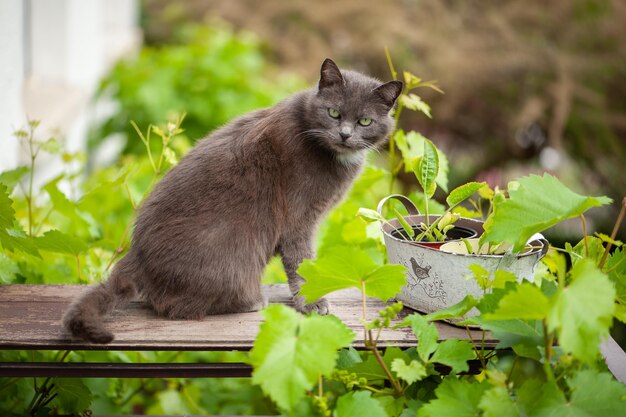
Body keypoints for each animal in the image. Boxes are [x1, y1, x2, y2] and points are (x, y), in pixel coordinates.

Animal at [63, 59, 402, 344]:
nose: (344, 134)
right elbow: (301, 260)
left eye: (365, 121)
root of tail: (136, 255)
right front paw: (313, 301)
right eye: (333, 113)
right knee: (176, 306)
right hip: (234, 255)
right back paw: (252, 301)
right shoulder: (299, 218)